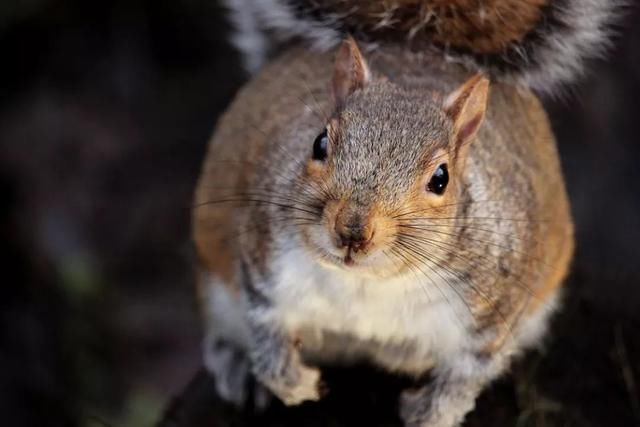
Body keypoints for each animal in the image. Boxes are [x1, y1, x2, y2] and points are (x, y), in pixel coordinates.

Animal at [191, 0, 616, 427]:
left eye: (441, 178)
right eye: (319, 143)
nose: (352, 230)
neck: (368, 283)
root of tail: (416, 48)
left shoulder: (492, 313)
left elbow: (466, 376)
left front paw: (429, 413)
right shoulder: (264, 259)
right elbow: (266, 328)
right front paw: (292, 382)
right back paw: (237, 365)